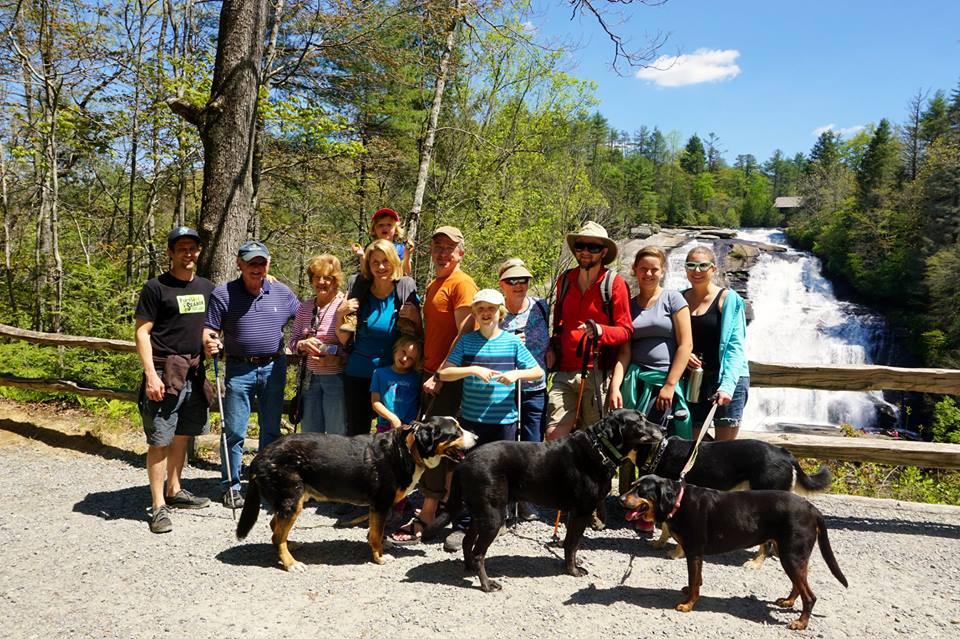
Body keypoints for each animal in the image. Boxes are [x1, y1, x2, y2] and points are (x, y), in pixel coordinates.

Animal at [232, 418, 472, 572]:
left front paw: (382, 546)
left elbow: (375, 532)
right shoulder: (381, 504)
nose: (477, 436)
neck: (406, 449)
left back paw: (290, 546)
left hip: (290, 502)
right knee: (276, 535)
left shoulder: (377, 507)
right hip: (292, 502)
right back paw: (290, 563)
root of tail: (260, 456)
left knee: (276, 528)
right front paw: (379, 557)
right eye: (456, 432)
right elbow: (376, 534)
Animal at [624, 472, 848, 632]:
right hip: (792, 554)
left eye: (641, 491)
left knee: (810, 596)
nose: (619, 499)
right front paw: (690, 592)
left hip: (791, 555)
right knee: (800, 583)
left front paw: (688, 605)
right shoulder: (697, 554)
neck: (678, 503)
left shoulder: (694, 551)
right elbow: (696, 579)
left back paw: (801, 623)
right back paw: (788, 601)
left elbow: (694, 580)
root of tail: (813, 509)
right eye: (633, 485)